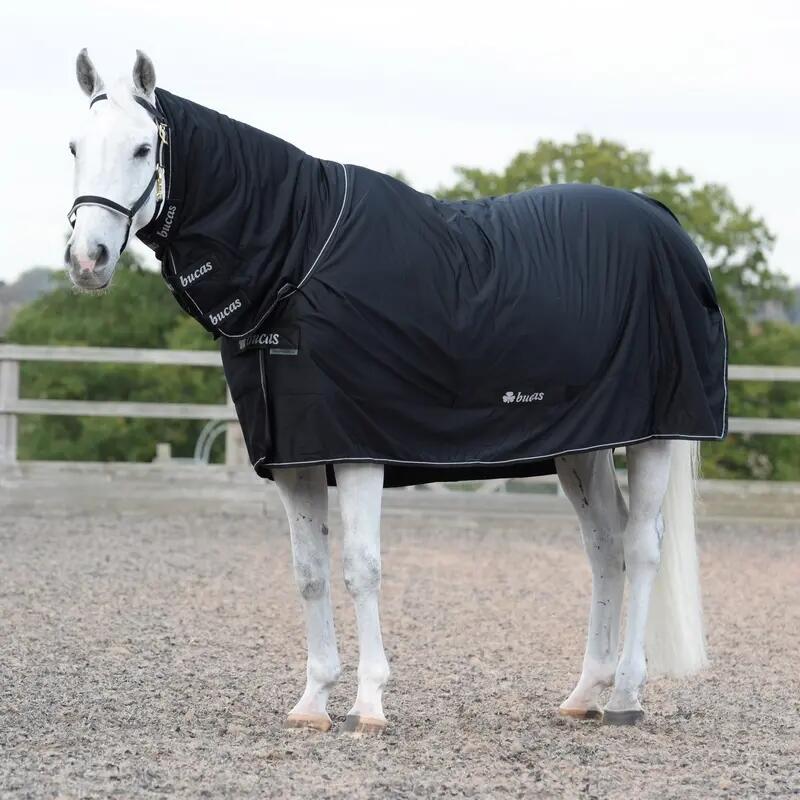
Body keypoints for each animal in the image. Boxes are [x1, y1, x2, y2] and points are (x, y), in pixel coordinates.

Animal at [65, 49, 726, 732]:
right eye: (73, 146)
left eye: (144, 148)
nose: (87, 259)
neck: (298, 255)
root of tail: (664, 221)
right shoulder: (296, 456)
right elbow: (309, 572)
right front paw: (313, 702)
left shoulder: (358, 447)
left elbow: (361, 568)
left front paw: (369, 704)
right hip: (583, 446)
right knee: (604, 546)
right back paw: (583, 693)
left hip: (655, 434)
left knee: (641, 548)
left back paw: (624, 696)